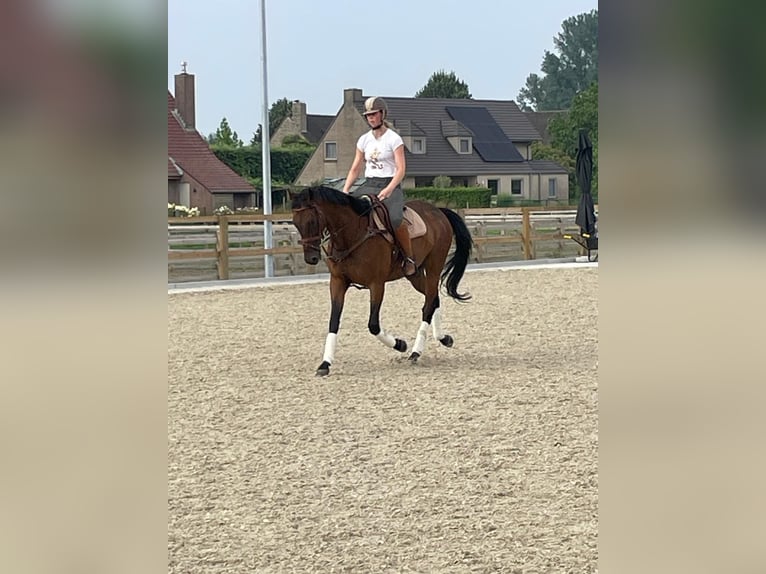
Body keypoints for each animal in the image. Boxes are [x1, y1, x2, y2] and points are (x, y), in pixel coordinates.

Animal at [290, 186, 474, 378]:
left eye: (312, 221)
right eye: (295, 222)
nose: (310, 258)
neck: (353, 233)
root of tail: (438, 211)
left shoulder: (376, 284)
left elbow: (373, 325)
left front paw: (400, 344)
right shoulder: (338, 282)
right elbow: (334, 321)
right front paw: (325, 364)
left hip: (433, 267)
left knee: (428, 304)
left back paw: (415, 352)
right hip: (415, 274)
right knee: (434, 298)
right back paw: (443, 338)